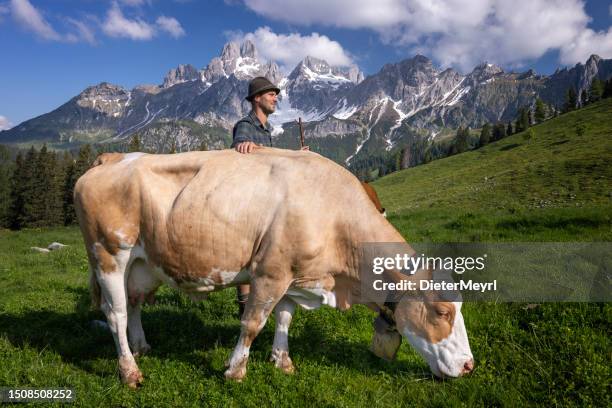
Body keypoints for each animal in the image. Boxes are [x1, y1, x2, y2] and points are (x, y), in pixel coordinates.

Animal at [73, 148, 474, 388]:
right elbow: (253, 323)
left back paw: (142, 346)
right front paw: (236, 370)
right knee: (116, 313)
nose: (470, 367)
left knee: (135, 301)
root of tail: (111, 158)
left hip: (143, 262)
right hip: (109, 255)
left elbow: (283, 318)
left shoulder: (295, 274)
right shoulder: (270, 272)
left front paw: (282, 361)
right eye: (441, 311)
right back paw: (129, 371)